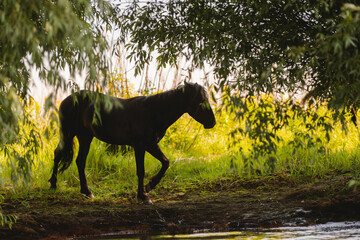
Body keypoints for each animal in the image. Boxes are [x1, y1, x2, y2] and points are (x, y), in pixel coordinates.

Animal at [49, 82, 215, 201]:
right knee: (58, 154)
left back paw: (86, 192)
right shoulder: (140, 146)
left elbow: (165, 162)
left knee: (80, 161)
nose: (212, 122)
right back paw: (53, 184)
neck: (153, 111)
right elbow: (141, 170)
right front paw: (143, 195)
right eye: (200, 101)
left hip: (85, 137)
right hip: (68, 134)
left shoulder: (151, 144)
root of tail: (67, 99)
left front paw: (149, 186)